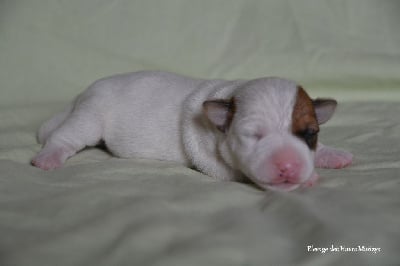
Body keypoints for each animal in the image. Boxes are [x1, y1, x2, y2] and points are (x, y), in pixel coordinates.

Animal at [32, 71, 354, 191]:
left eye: (309, 134)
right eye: (254, 136)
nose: (288, 166)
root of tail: (86, 91)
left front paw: (331, 155)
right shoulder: (218, 165)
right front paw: (309, 177)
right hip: (91, 116)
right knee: (65, 136)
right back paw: (48, 157)